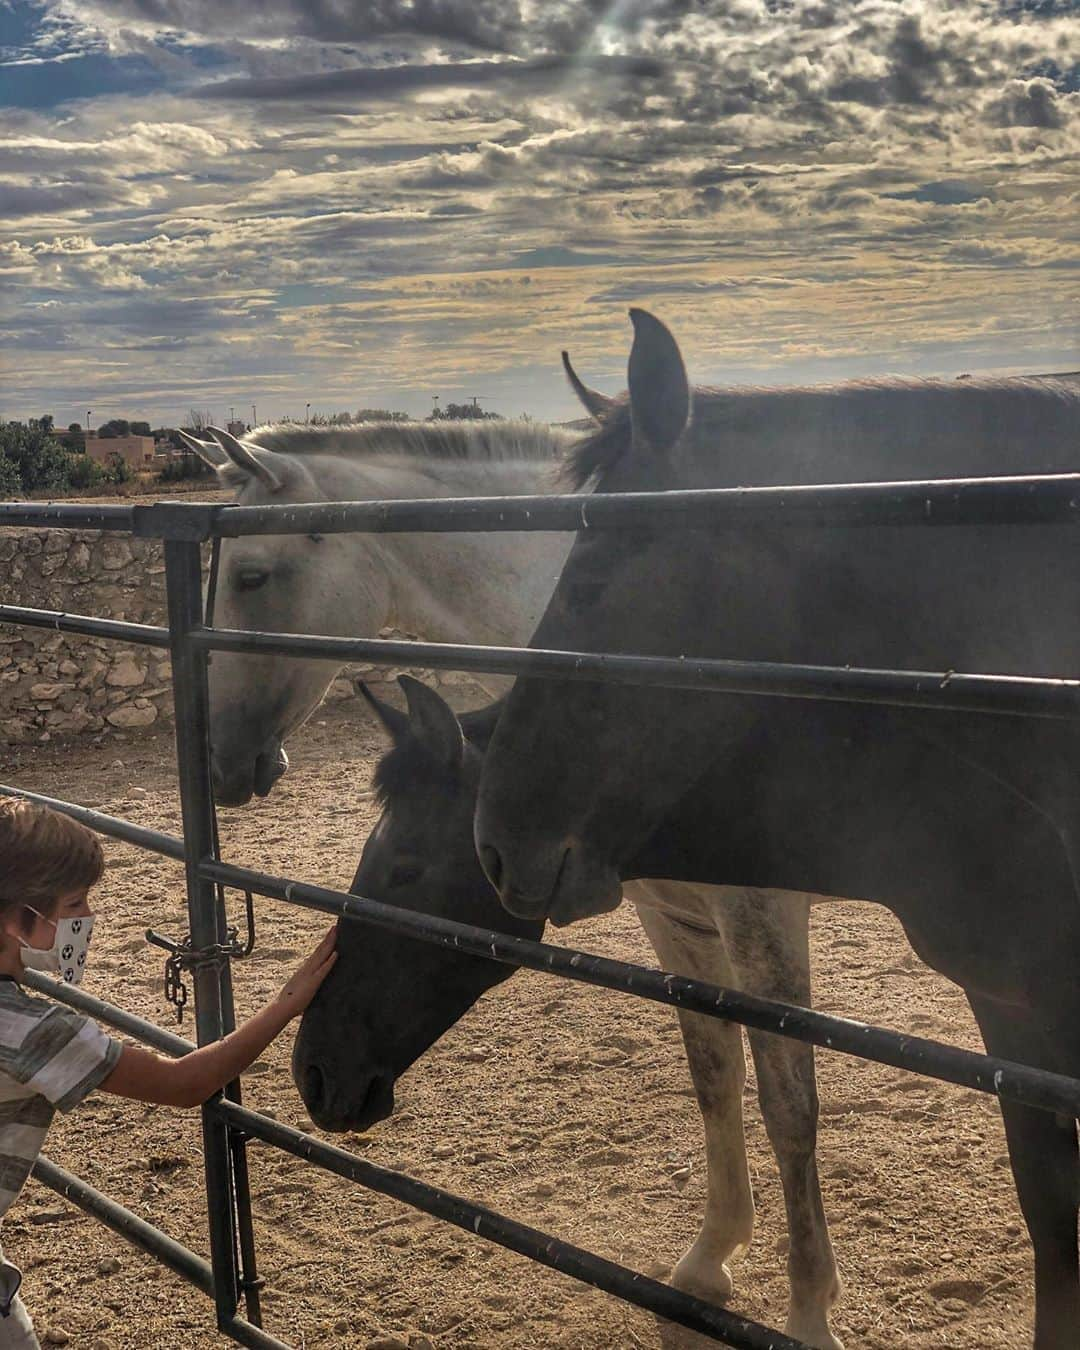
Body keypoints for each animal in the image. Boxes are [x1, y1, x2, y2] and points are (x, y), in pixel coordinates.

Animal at [186, 415, 837, 1344]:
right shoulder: (674, 914)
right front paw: (709, 1258)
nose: (221, 761)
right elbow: (714, 1070)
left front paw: (811, 1312)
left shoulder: (761, 914)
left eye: (251, 575)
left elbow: (791, 1105)